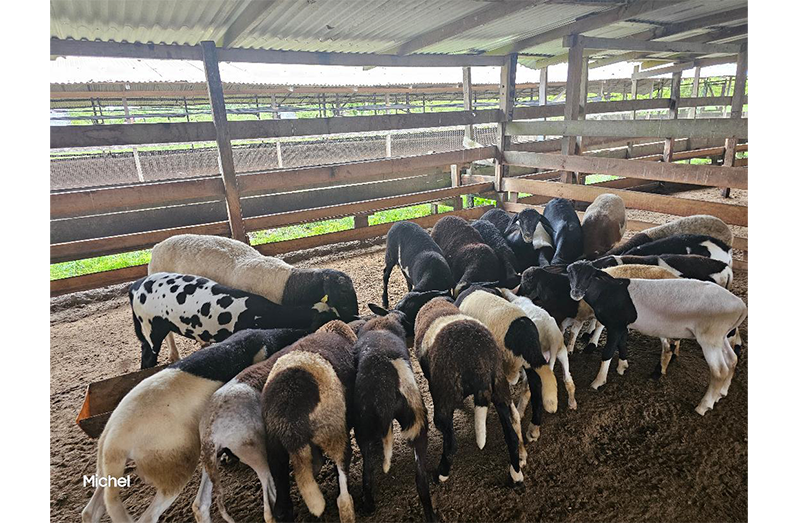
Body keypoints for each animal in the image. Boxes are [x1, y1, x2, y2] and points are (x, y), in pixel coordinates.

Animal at [351, 312, 437, 523]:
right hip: (416, 420)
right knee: (421, 480)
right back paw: (431, 514)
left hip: (364, 426)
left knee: (367, 474)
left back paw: (369, 505)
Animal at [414, 297, 525, 484]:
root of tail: (480, 362)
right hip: (500, 390)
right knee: (512, 436)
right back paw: (516, 475)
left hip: (444, 398)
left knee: (451, 444)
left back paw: (441, 474)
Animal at [566, 261, 747, 415]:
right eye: (570, 274)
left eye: (590, 276)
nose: (576, 293)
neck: (606, 291)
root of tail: (741, 307)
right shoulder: (622, 326)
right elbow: (622, 345)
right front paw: (622, 367)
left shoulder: (615, 325)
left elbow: (608, 352)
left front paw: (598, 382)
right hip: (721, 337)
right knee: (732, 360)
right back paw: (722, 392)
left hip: (710, 337)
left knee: (719, 371)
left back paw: (703, 406)